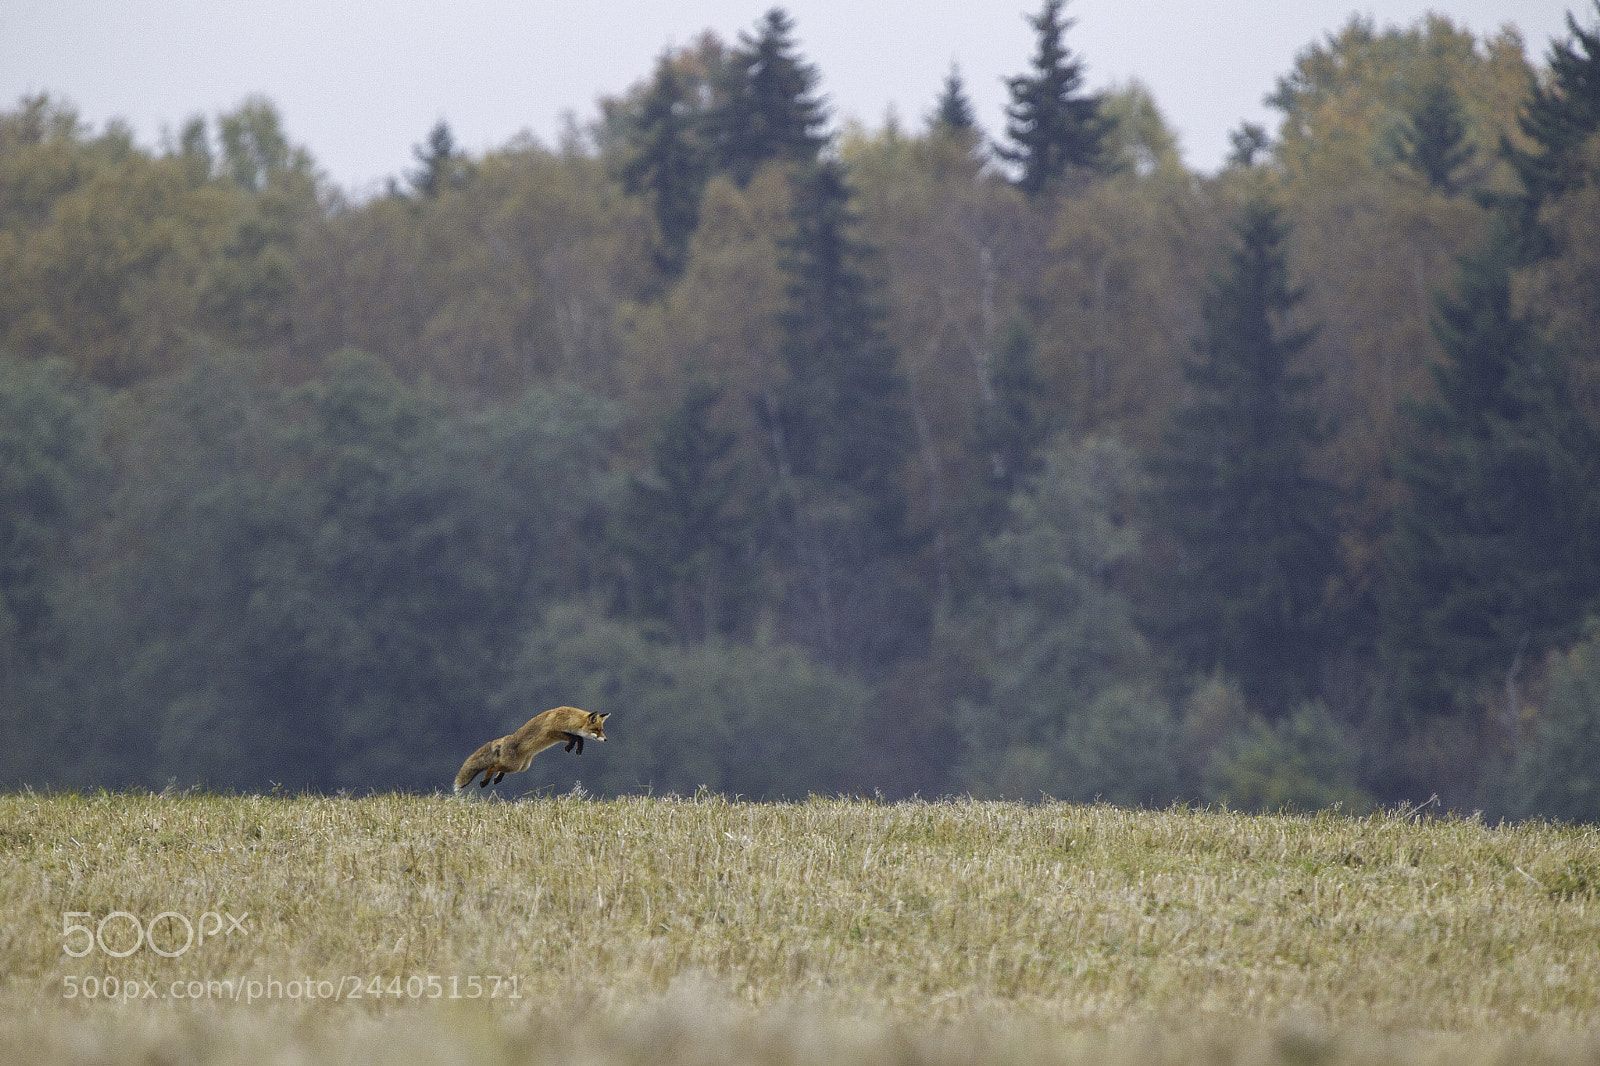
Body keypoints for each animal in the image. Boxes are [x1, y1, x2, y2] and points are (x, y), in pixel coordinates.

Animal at [453, 706, 610, 793]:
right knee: (492, 766)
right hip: (514, 765)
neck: (568, 718)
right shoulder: (553, 732)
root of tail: (504, 739)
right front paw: (570, 747)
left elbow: (579, 738)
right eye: (597, 730)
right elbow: (575, 737)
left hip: (520, 767)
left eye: (602, 730)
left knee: (498, 768)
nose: (606, 739)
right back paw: (485, 782)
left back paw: (496, 779)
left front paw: (578, 749)